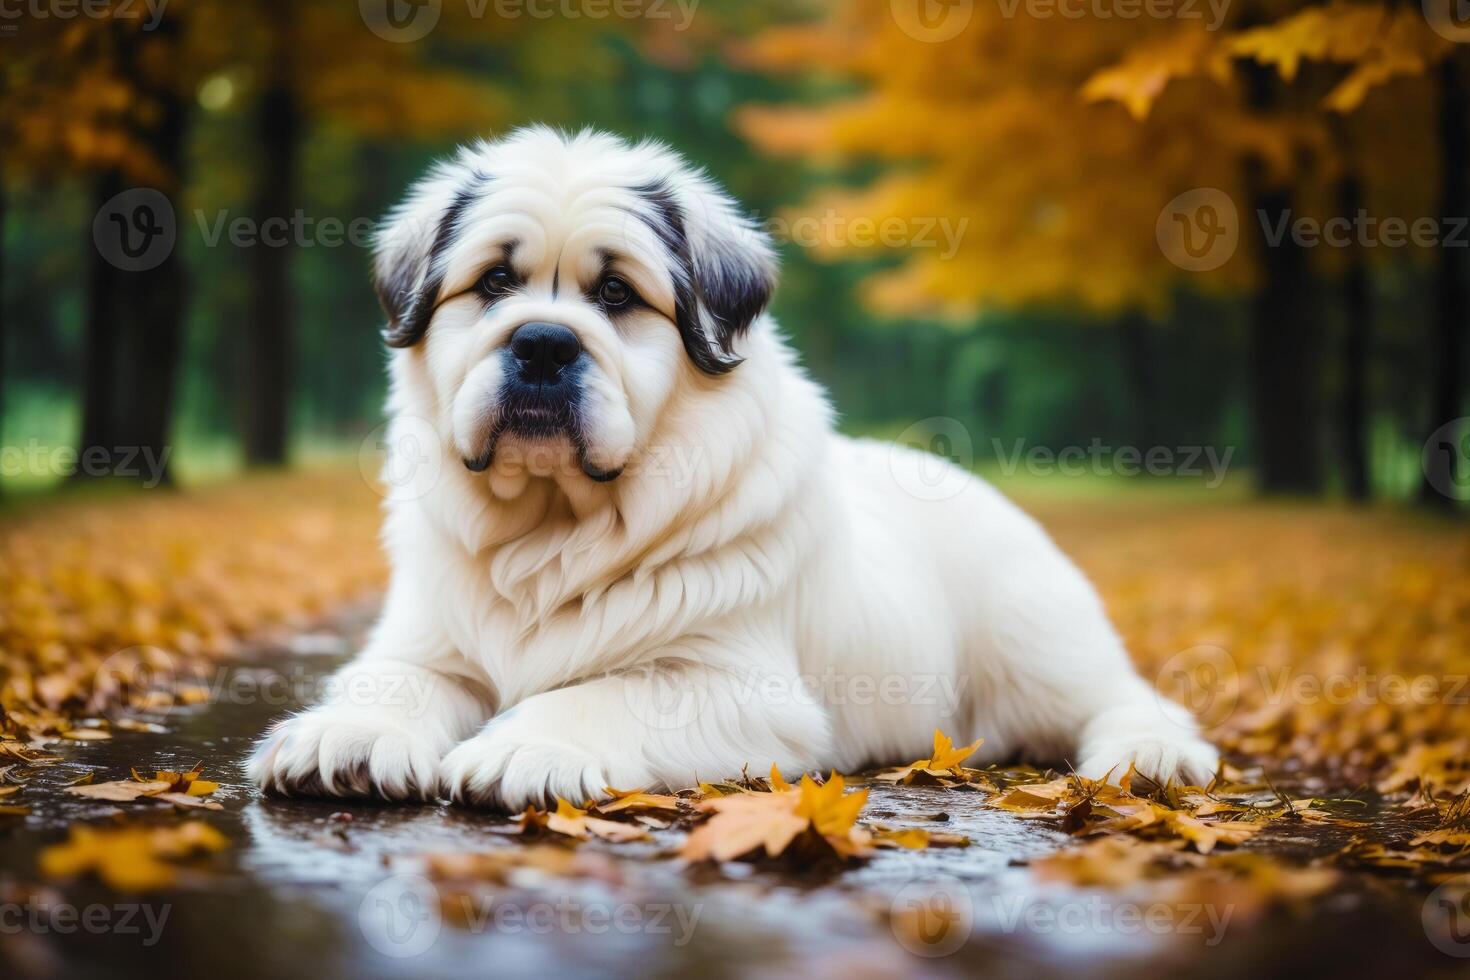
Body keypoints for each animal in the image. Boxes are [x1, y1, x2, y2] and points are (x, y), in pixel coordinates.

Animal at [249, 126, 1217, 811]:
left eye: (615, 295)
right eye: (493, 284)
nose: (543, 343)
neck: (553, 527)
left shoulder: (736, 688)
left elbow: (601, 694)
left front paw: (523, 747)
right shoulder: (425, 641)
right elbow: (396, 680)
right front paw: (347, 735)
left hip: (1034, 636)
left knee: (1125, 696)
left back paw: (1151, 756)